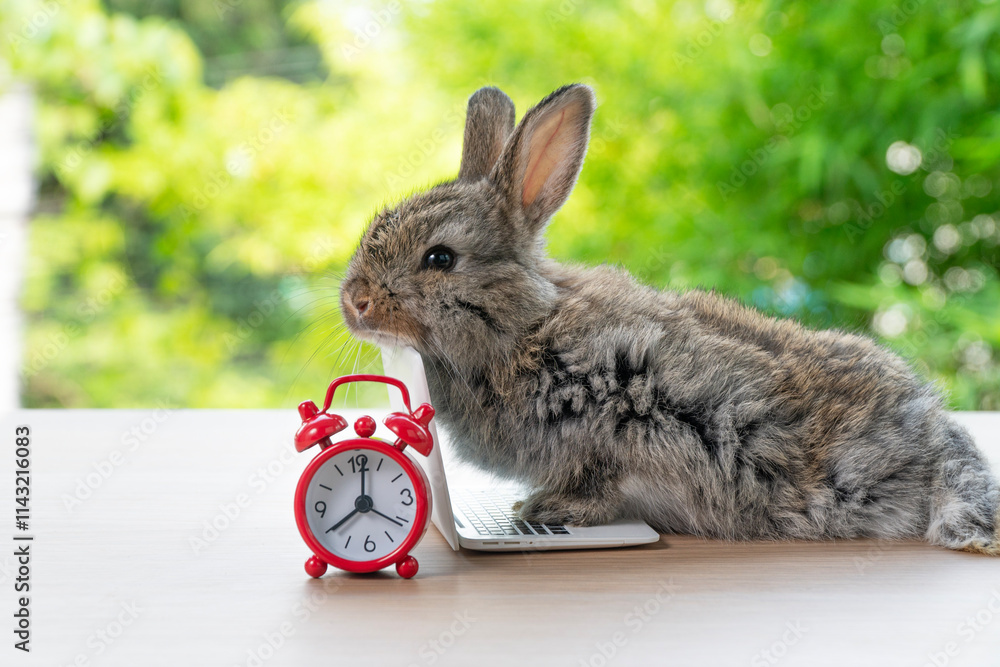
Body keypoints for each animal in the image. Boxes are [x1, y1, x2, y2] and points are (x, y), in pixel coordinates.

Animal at [338, 83, 1000, 552]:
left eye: (440, 258)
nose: (354, 301)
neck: (522, 327)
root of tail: (933, 434)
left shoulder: (627, 421)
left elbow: (601, 481)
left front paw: (545, 511)